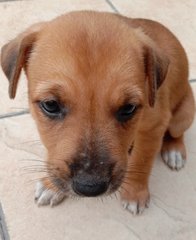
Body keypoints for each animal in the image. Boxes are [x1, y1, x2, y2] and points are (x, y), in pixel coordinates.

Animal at [0, 11, 195, 215]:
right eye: (51, 105)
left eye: (128, 108)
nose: (89, 187)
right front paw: (50, 186)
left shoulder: (154, 126)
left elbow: (141, 161)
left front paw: (134, 193)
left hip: (183, 116)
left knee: (176, 133)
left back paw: (174, 151)